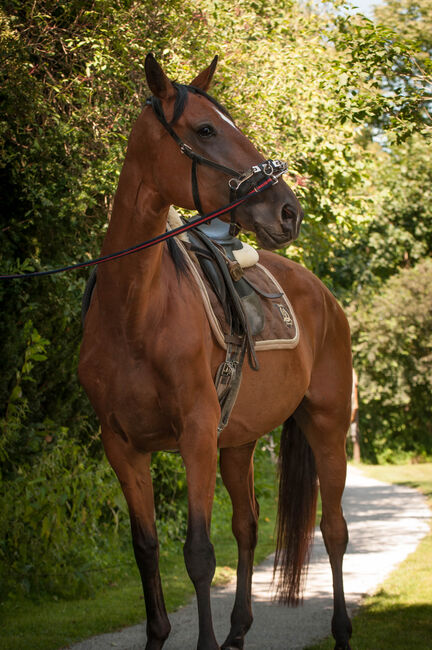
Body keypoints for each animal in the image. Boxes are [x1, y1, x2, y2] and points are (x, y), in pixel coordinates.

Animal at [78, 54, 352, 648]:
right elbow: (147, 548)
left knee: (334, 531)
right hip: (239, 443)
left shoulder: (196, 434)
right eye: (205, 129)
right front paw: (159, 635)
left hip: (326, 425)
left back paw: (342, 630)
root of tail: (324, 296)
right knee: (247, 526)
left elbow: (199, 554)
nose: (288, 211)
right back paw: (238, 632)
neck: (134, 311)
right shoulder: (122, 447)